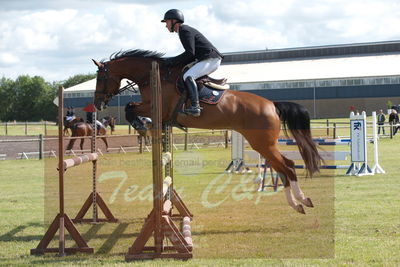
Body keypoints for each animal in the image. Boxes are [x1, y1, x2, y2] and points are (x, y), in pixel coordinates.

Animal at [92, 49, 324, 215]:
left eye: (100, 79)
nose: (97, 104)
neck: (152, 77)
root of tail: (272, 105)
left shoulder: (157, 107)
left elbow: (129, 107)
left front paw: (141, 125)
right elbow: (131, 107)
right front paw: (142, 126)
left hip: (262, 143)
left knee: (288, 166)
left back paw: (301, 200)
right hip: (263, 144)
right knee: (284, 168)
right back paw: (298, 203)